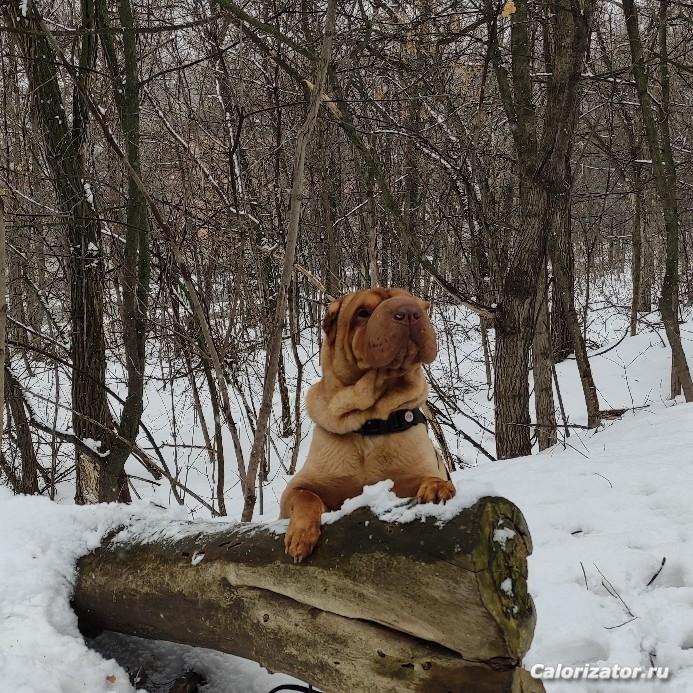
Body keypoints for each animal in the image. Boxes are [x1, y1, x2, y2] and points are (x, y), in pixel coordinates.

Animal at [278, 286, 456, 564]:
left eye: (416, 304)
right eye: (362, 313)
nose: (409, 312)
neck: (370, 422)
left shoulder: (413, 475)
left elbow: (426, 479)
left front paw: (437, 487)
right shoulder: (297, 487)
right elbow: (307, 496)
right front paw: (300, 536)